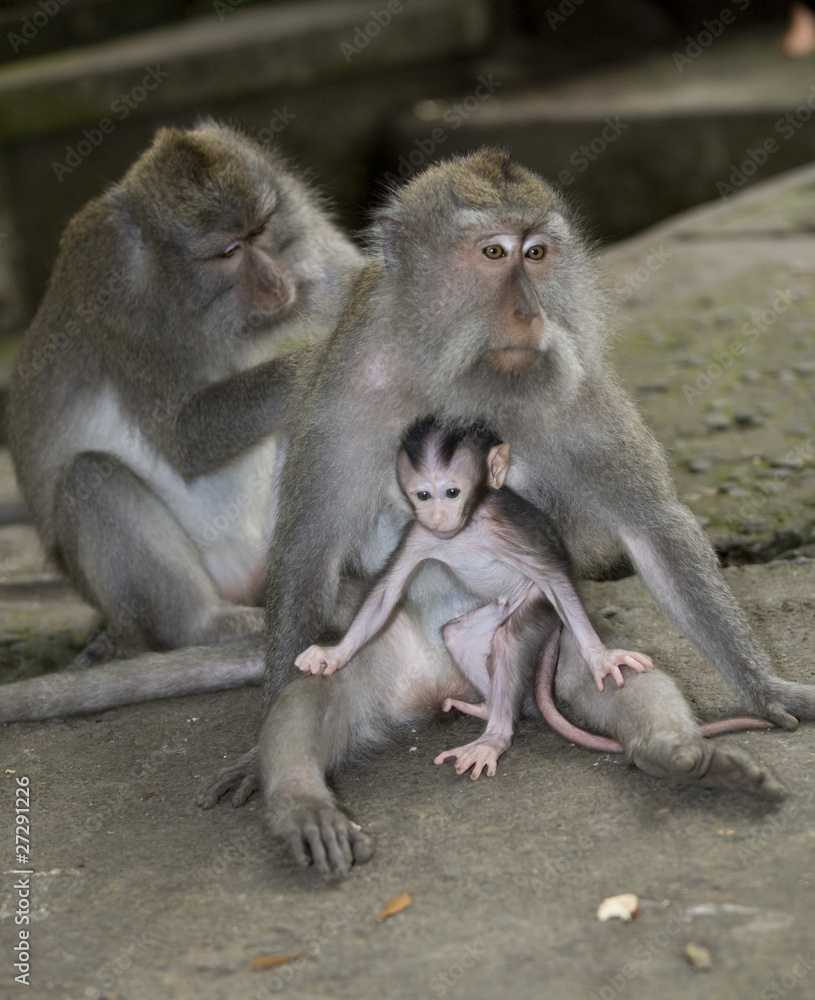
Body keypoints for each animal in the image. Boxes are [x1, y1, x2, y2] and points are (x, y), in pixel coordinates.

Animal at [6, 121, 362, 678]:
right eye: (228, 251)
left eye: (262, 230)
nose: (275, 281)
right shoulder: (113, 284)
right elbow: (179, 436)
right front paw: (316, 357)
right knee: (90, 477)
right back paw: (207, 626)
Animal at [295, 415, 653, 778]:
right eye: (423, 495)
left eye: (452, 492)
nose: (438, 516)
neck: (465, 529)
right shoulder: (419, 534)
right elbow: (387, 591)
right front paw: (335, 654)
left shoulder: (508, 533)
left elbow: (554, 576)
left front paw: (600, 657)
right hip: (499, 607)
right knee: (458, 636)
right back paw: (487, 708)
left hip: (536, 602)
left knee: (509, 640)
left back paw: (495, 736)